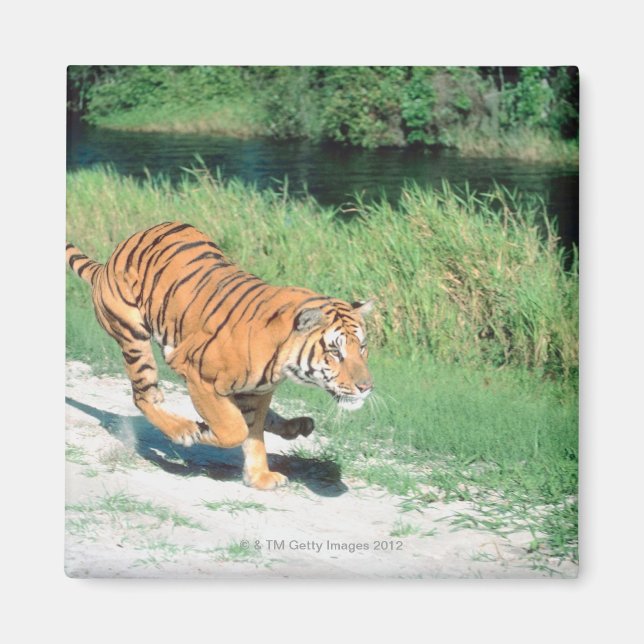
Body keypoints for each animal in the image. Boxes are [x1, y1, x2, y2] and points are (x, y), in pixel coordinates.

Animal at [66, 222, 374, 490]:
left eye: (362, 347)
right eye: (334, 351)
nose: (366, 387)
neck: (282, 363)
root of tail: (107, 263)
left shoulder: (257, 392)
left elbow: (253, 432)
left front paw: (259, 477)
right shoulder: (197, 374)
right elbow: (235, 428)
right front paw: (201, 432)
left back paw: (296, 425)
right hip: (133, 337)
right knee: (144, 396)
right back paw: (182, 429)